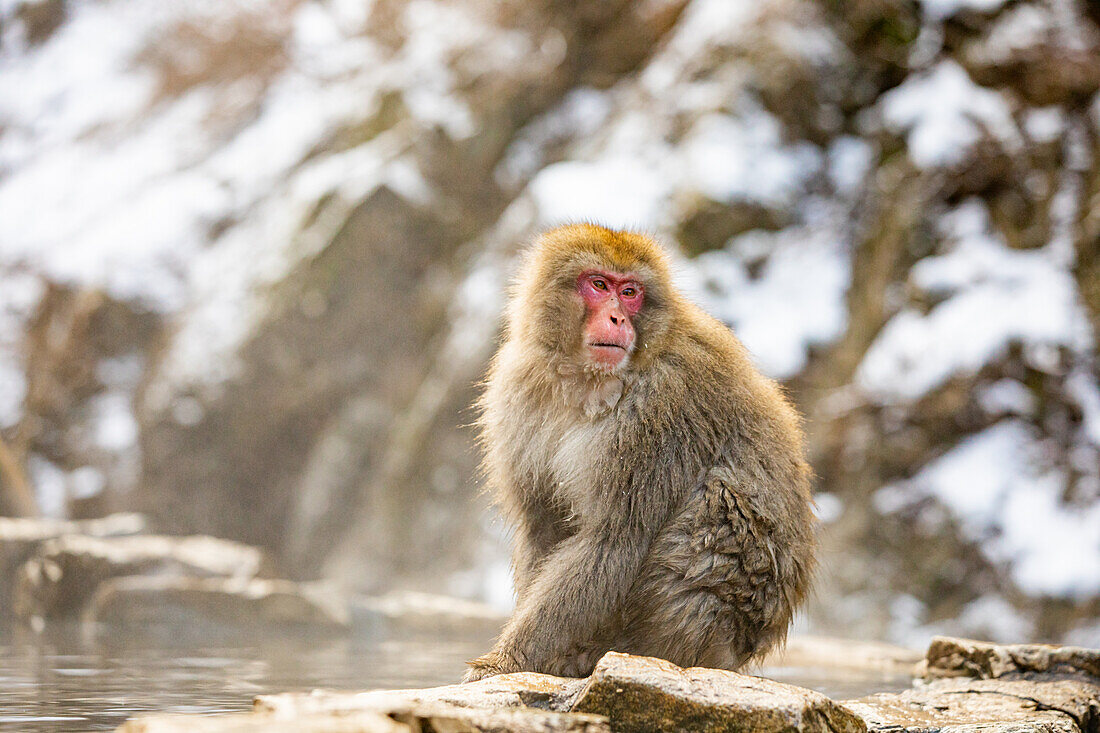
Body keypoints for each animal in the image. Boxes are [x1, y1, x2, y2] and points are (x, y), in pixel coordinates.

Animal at [464, 222, 818, 677]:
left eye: (630, 292)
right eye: (599, 284)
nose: (617, 317)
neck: (588, 381)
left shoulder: (663, 406)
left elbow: (615, 541)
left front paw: (505, 661)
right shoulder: (518, 390)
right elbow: (542, 524)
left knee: (715, 503)